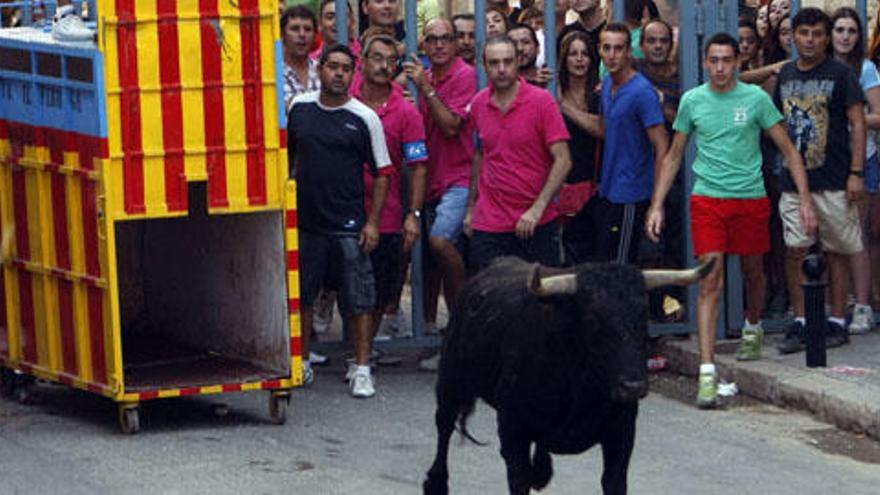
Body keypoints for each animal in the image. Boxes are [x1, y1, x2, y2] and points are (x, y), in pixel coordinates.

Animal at [424, 258, 716, 494]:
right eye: (594, 320)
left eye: (643, 317)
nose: (632, 386)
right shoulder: (512, 430)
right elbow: (519, 480)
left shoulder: (621, 434)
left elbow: (614, 482)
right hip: (450, 383)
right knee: (443, 427)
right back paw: (435, 483)